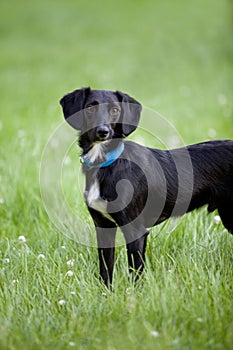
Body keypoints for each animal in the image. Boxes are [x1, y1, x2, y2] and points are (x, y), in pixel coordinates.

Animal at [60, 87, 233, 284]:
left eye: (115, 110)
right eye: (90, 107)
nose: (103, 131)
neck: (105, 162)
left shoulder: (136, 231)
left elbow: (135, 275)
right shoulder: (103, 226)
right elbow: (105, 270)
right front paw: (106, 291)